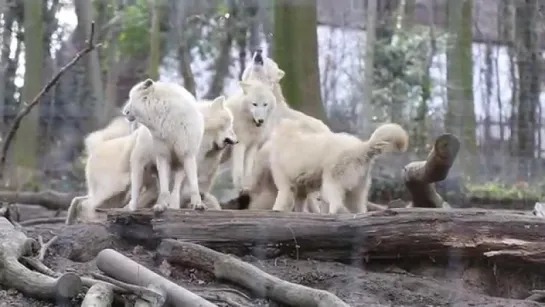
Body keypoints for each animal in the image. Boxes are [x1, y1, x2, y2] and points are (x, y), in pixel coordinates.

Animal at [122, 78, 205, 212]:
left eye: (131, 98)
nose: (125, 112)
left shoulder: (187, 155)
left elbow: (193, 184)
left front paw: (198, 204)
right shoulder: (163, 156)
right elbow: (164, 188)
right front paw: (161, 206)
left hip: (178, 168)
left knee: (175, 189)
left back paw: (174, 206)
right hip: (139, 165)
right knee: (136, 190)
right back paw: (133, 207)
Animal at [268, 119, 408, 215]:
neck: (289, 134)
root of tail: (361, 148)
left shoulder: (286, 187)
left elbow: (281, 203)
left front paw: (276, 211)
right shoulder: (301, 190)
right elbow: (300, 206)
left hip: (331, 183)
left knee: (337, 205)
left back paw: (331, 215)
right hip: (356, 191)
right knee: (359, 209)